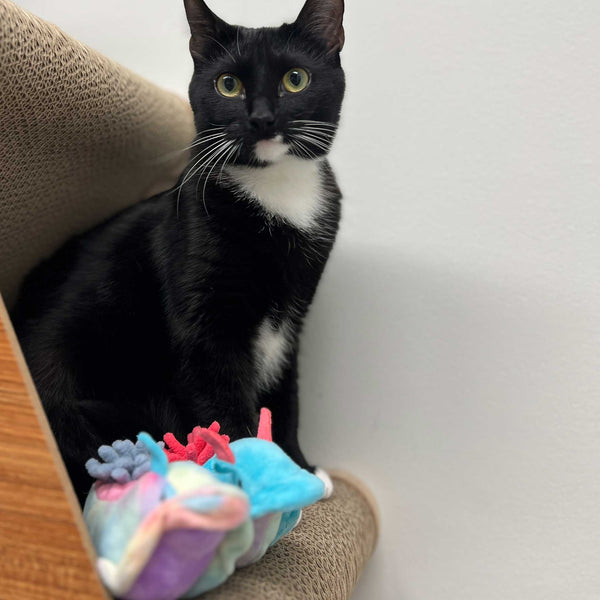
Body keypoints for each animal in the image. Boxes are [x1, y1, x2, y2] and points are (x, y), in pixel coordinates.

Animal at [11, 0, 344, 506]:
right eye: (228, 85)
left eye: (296, 79)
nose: (263, 118)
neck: (276, 193)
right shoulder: (204, 319)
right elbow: (220, 393)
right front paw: (252, 479)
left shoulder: (294, 315)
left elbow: (286, 391)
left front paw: (296, 465)